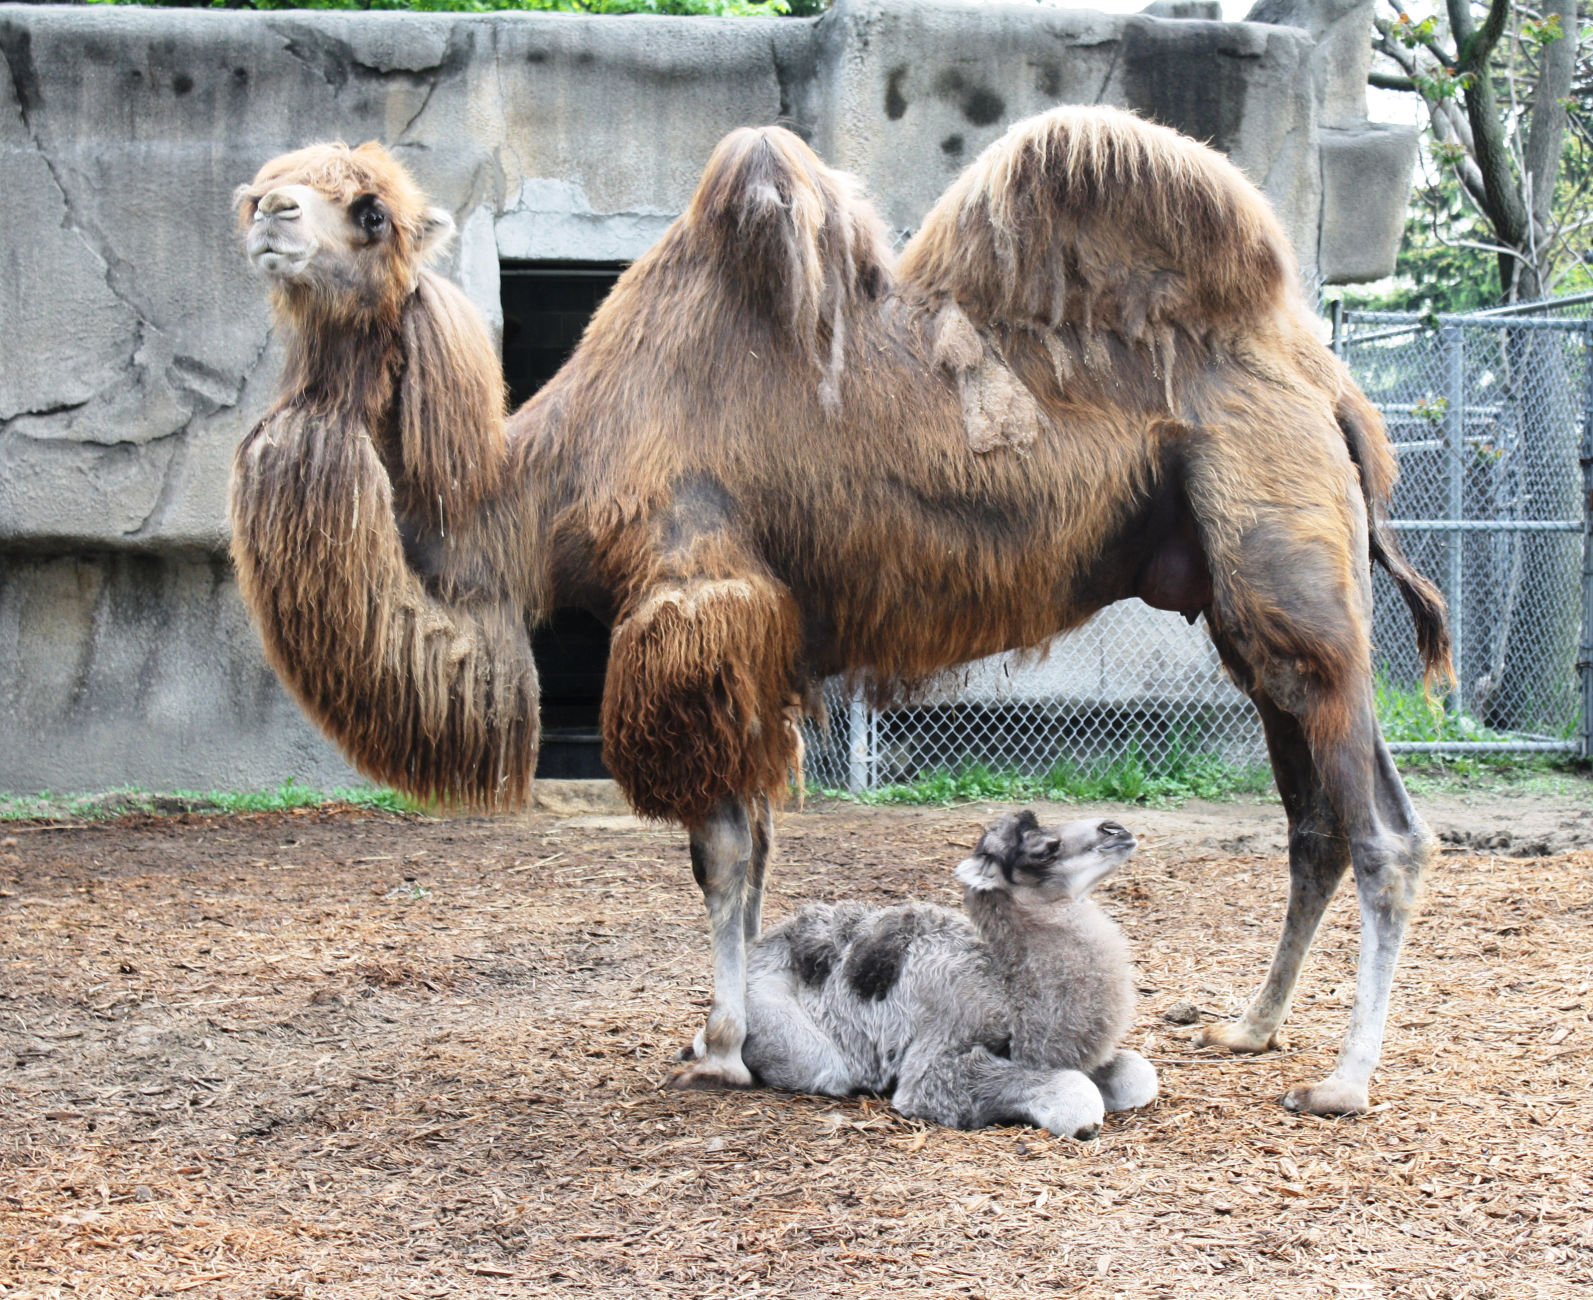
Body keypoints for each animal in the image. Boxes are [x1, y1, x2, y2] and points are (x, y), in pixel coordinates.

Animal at [739, 812, 1153, 1134]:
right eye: (1042, 851)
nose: (1114, 829)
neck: (1011, 994)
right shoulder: (942, 1050)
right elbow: (1076, 1092)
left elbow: (1138, 1074)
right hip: (783, 1024)